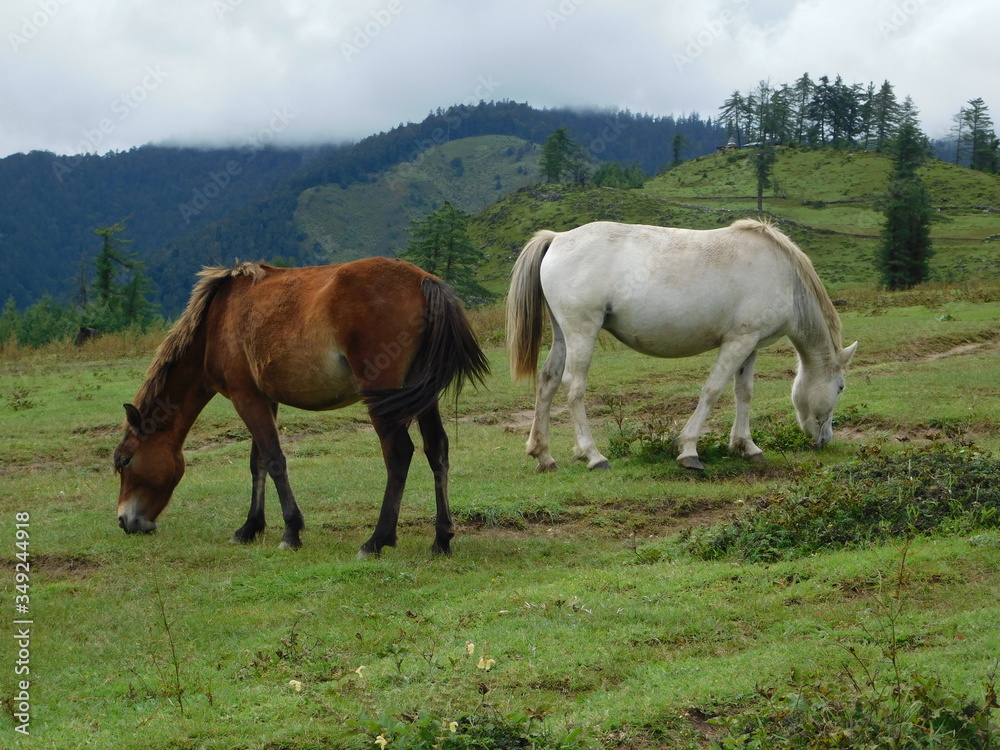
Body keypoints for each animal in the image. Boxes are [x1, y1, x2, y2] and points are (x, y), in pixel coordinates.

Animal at [113, 258, 488, 560]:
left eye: (125, 461)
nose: (124, 521)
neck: (216, 322)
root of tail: (423, 280)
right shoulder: (265, 399)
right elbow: (258, 463)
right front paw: (250, 527)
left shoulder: (245, 397)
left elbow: (274, 460)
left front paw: (290, 531)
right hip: (422, 394)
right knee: (436, 449)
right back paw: (441, 539)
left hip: (382, 394)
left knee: (399, 454)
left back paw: (376, 540)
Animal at [508, 217, 860, 472]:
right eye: (841, 387)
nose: (825, 439)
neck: (784, 276)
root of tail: (557, 238)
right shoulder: (738, 342)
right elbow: (712, 391)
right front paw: (689, 450)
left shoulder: (750, 344)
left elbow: (743, 393)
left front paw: (746, 446)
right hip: (582, 332)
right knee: (574, 387)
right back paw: (593, 455)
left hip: (563, 335)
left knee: (548, 381)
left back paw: (543, 456)